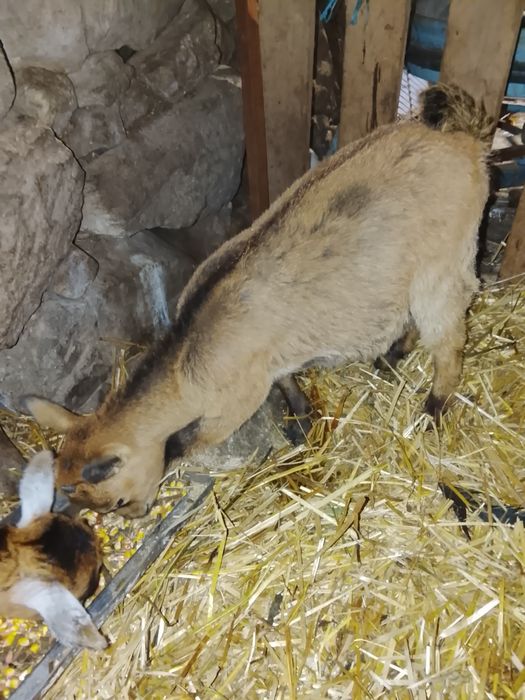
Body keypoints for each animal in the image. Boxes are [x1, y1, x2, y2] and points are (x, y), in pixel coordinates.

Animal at [25, 84, 493, 518]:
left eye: (116, 500)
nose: (136, 514)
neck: (188, 358)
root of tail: (463, 134)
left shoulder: (235, 403)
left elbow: (183, 440)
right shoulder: (271, 362)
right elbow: (288, 384)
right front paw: (302, 422)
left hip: (444, 262)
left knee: (449, 341)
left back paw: (432, 409)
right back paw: (392, 355)